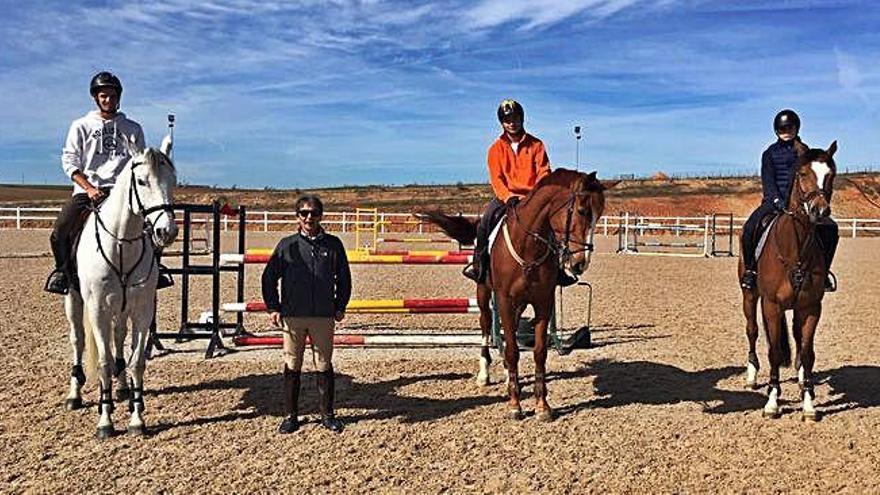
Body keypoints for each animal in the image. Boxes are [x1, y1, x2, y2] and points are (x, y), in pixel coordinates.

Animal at [416, 169, 608, 420]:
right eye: (582, 211)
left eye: (599, 214)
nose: (580, 263)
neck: (528, 246)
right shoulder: (505, 301)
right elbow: (513, 350)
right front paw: (515, 404)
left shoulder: (542, 302)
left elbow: (538, 352)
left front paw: (542, 405)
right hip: (484, 294)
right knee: (486, 326)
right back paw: (484, 374)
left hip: (519, 304)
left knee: (511, 333)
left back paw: (508, 372)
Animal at [736, 140, 840, 422]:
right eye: (802, 173)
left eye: (831, 174)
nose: (820, 211)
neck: (795, 248)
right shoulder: (771, 305)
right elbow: (773, 351)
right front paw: (772, 402)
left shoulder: (810, 307)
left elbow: (806, 350)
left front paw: (808, 403)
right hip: (750, 296)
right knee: (752, 330)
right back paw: (752, 375)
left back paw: (802, 376)